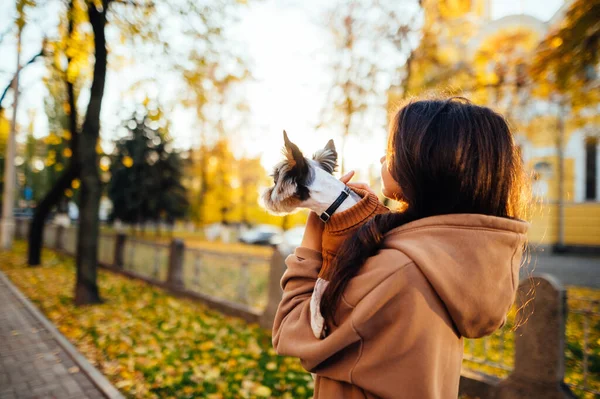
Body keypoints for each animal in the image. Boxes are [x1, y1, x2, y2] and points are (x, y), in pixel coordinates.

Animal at [262, 132, 360, 340]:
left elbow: (316, 286)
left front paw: (316, 324)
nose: (264, 194)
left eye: (275, 182)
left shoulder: (336, 260)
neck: (337, 205)